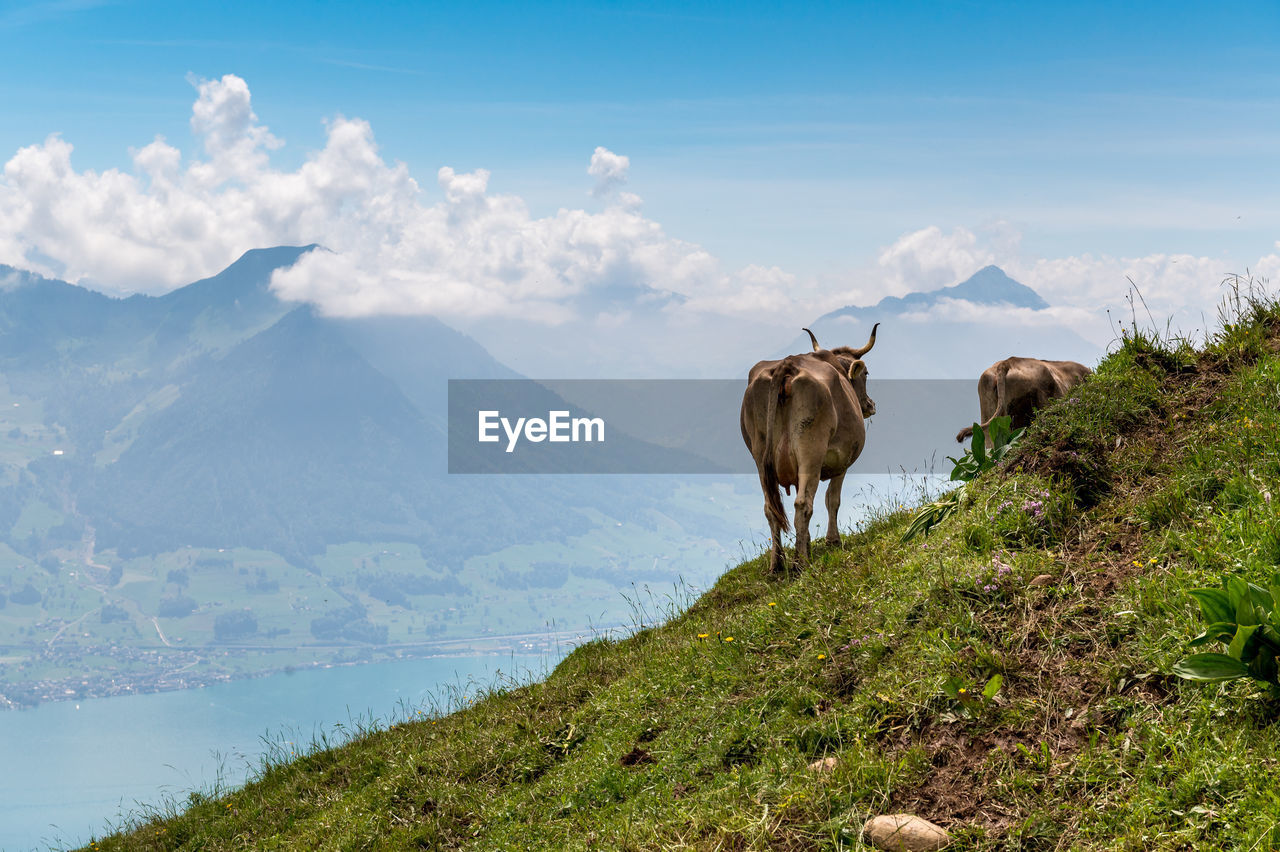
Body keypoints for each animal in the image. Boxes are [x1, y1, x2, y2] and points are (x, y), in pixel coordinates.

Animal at [742, 324, 880, 570]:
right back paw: (800, 563)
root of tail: (787, 365)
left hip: (760, 455)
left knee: (771, 509)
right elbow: (832, 499)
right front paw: (832, 541)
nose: (871, 405)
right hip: (811, 449)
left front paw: (807, 543)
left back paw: (777, 565)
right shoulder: (842, 460)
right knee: (803, 504)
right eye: (866, 374)